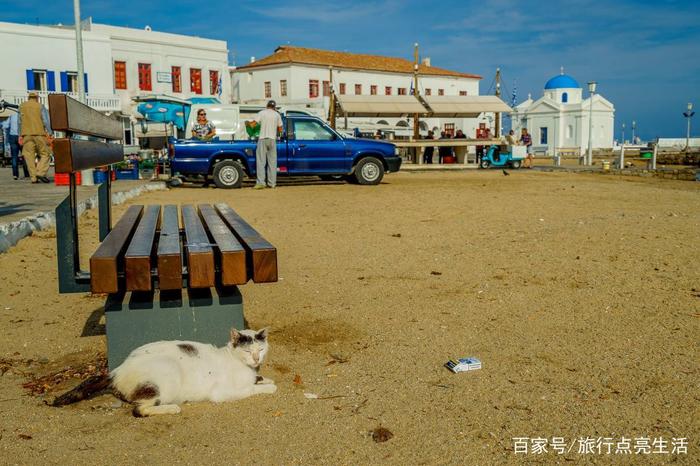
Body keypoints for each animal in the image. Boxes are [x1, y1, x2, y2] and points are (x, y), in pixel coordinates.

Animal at [51, 326, 276, 416]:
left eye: (260, 349)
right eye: (247, 351)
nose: (256, 359)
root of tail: (116, 370)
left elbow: (257, 379)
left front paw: (265, 379)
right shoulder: (222, 393)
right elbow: (249, 389)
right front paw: (268, 387)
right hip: (166, 374)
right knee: (139, 410)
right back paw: (171, 408)